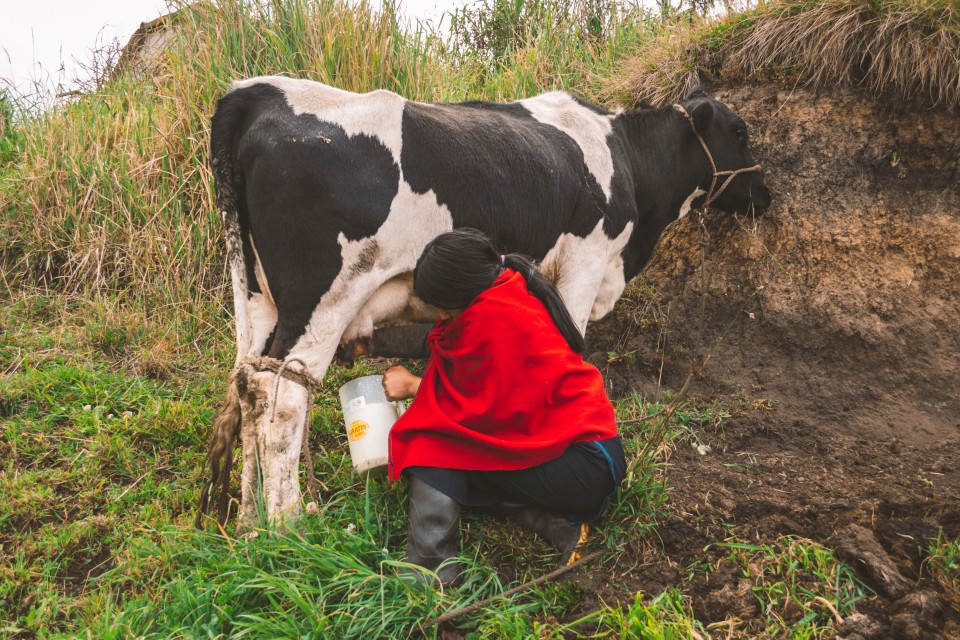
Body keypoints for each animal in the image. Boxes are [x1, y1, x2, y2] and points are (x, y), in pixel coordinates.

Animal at [197, 76, 772, 524]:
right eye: (739, 131)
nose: (766, 196)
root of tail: (254, 93)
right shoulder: (585, 262)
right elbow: (570, 346)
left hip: (258, 299)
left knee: (248, 386)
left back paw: (250, 520)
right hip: (323, 298)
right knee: (282, 398)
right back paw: (289, 523)